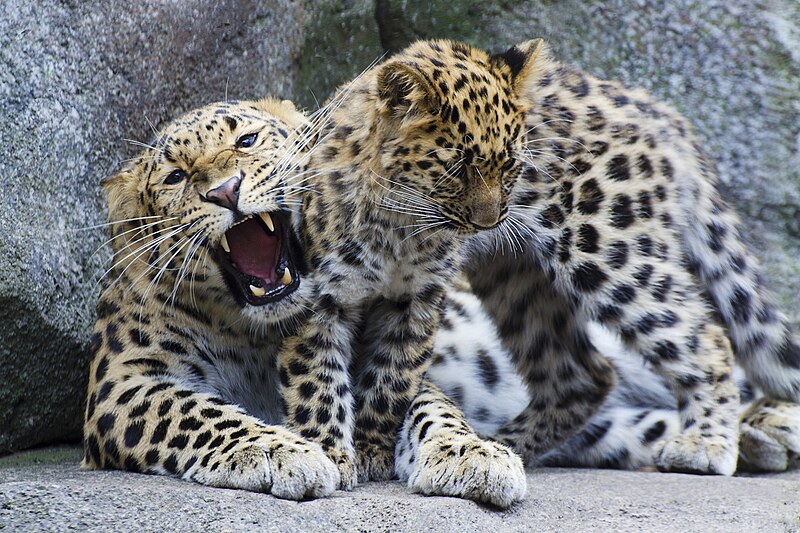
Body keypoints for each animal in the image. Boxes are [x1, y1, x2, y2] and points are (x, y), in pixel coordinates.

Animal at [276, 36, 608, 498]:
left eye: (509, 166)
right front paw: (328, 451)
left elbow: (393, 378)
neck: (399, 229)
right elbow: (316, 378)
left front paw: (372, 449)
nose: (490, 222)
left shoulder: (417, 301)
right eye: (458, 168)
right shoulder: (317, 298)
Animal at [454, 39, 800, 476]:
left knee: (706, 336)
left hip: (603, 245)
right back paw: (501, 444)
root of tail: (655, 106)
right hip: (513, 269)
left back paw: (703, 445)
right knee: (579, 375)